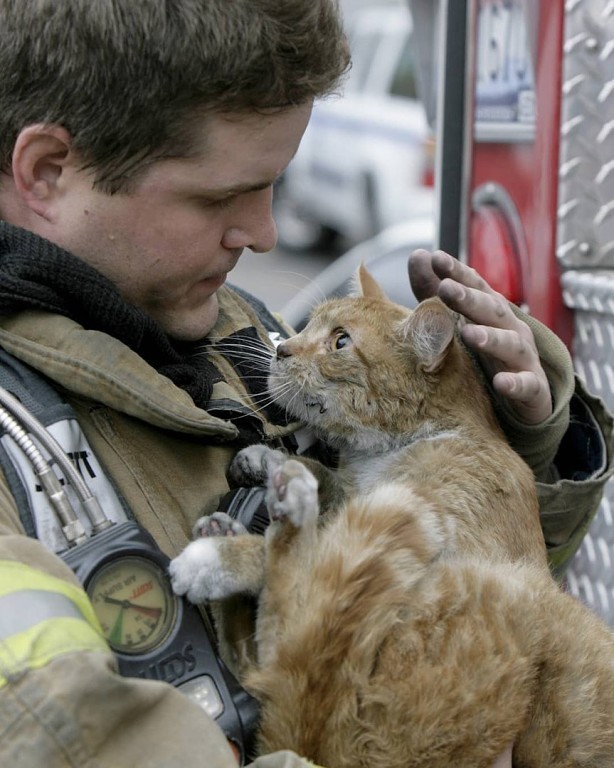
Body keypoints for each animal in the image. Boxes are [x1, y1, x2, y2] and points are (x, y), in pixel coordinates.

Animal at [171, 268, 614, 764]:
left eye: (340, 342)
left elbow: (321, 563)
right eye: (310, 327)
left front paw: (232, 553)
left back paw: (219, 550)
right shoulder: (357, 495)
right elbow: (324, 480)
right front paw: (267, 461)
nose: (282, 349)